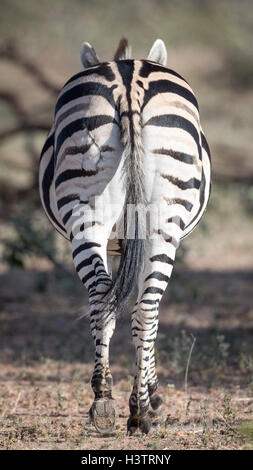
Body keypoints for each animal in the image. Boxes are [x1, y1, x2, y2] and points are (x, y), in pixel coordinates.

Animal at [38, 38, 211, 436]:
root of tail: (128, 79)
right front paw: (154, 391)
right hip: (161, 223)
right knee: (147, 309)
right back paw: (141, 410)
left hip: (89, 214)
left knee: (106, 296)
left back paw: (105, 403)